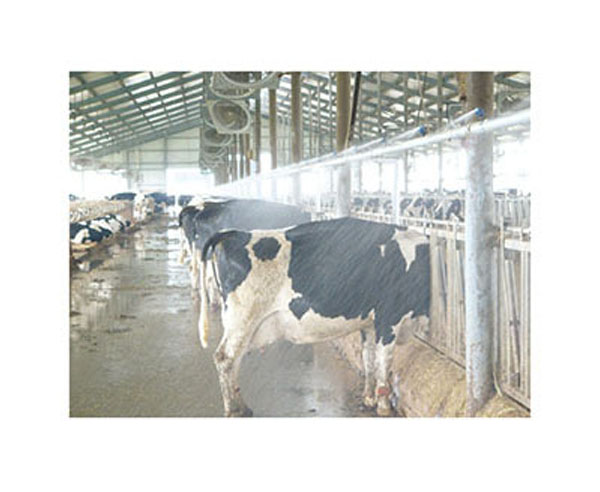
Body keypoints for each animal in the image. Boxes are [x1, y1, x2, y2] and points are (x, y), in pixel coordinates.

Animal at [198, 216, 431, 417]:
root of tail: (233, 234)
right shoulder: (389, 318)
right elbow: (384, 364)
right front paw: (383, 406)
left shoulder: (370, 324)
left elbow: (368, 360)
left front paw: (368, 398)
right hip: (243, 319)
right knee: (225, 358)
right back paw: (236, 410)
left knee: (234, 361)